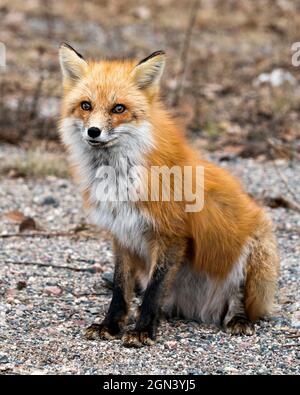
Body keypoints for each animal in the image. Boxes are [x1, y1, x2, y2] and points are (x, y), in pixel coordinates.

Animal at [58, 41, 278, 348]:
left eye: (118, 108)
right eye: (85, 105)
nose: (93, 131)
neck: (120, 177)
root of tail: (199, 311)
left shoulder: (172, 234)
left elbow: (154, 290)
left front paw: (142, 331)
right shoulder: (121, 233)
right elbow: (121, 290)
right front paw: (111, 326)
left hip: (258, 250)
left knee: (240, 298)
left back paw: (238, 319)